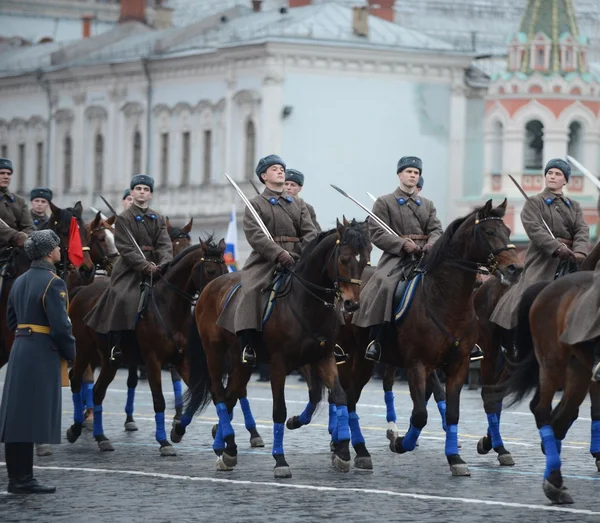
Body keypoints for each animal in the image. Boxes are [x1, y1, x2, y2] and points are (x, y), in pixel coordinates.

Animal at [64, 237, 226, 454]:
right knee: (75, 380)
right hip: (84, 349)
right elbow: (159, 401)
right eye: (210, 271)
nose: (217, 300)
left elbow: (201, 392)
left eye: (225, 269)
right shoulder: (152, 361)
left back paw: (101, 437)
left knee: (98, 391)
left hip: (109, 360)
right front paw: (164, 442)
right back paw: (75, 429)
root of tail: (82, 290)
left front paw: (184, 429)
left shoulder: (182, 360)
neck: (170, 307)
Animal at [173, 219, 370, 482]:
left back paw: (226, 447)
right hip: (214, 352)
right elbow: (279, 410)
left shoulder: (323, 358)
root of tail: (207, 290)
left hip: (243, 360)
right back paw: (225, 444)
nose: (352, 304)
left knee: (231, 394)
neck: (306, 302)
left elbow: (338, 396)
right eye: (345, 259)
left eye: (367, 259)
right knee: (219, 394)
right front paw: (280, 460)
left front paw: (343, 452)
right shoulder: (279, 365)